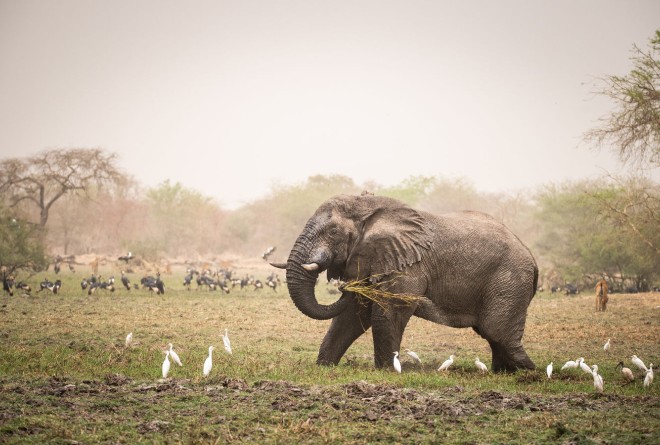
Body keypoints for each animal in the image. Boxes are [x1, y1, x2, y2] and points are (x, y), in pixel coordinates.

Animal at [271, 194, 538, 372]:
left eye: (333, 231)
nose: (343, 285)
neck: (371, 208)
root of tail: (531, 257)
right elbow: (352, 315)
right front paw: (324, 367)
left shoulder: (407, 265)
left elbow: (387, 313)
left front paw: (387, 372)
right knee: (495, 336)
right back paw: (504, 372)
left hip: (510, 280)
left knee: (496, 331)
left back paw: (532, 373)